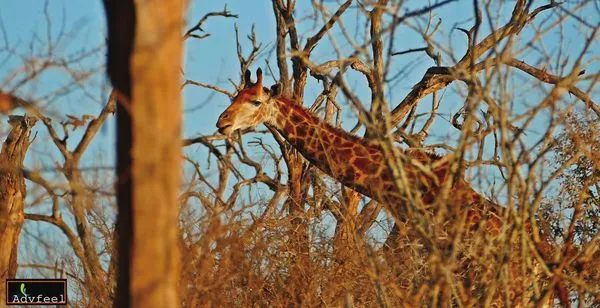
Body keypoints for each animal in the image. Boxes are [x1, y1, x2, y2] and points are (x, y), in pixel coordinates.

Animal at [214, 68, 568, 306]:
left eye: (256, 101)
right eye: (234, 97)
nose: (222, 123)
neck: (399, 182)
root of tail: (547, 265)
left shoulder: (416, 251)